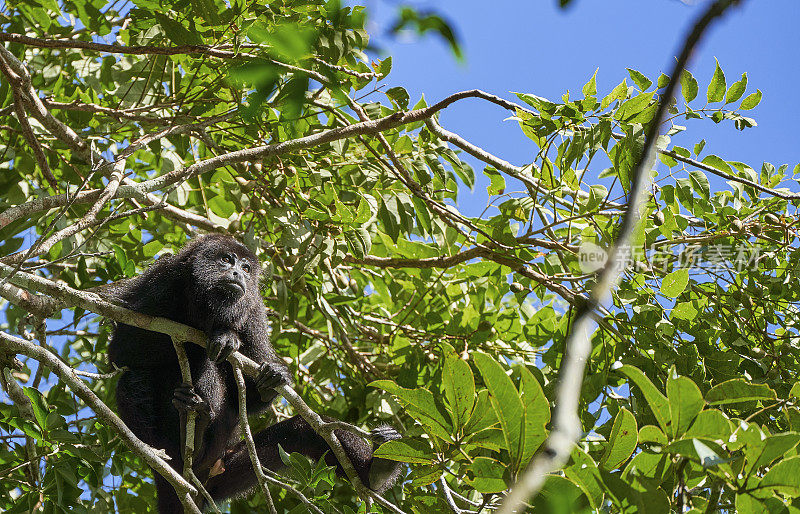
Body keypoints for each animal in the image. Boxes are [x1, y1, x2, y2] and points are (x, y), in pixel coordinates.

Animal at [108, 234, 400, 510]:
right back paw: (186, 434)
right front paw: (219, 334)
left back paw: (377, 472)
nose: (238, 274)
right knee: (132, 382)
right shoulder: (161, 280)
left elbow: (251, 396)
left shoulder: (254, 309)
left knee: (305, 430)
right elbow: (122, 347)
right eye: (226, 260)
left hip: (226, 470)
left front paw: (271, 376)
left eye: (246, 268)